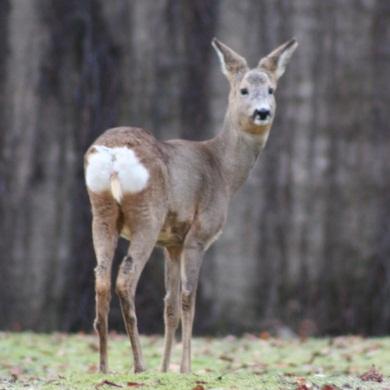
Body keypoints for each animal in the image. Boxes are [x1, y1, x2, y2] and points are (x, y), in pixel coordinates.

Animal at [84, 37, 298, 374]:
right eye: (243, 90)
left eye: (271, 89)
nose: (262, 112)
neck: (223, 170)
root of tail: (114, 155)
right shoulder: (199, 234)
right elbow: (188, 299)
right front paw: (185, 368)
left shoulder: (172, 242)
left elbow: (169, 305)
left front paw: (166, 369)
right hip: (147, 213)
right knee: (125, 278)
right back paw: (139, 364)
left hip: (102, 211)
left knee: (102, 278)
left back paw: (105, 367)